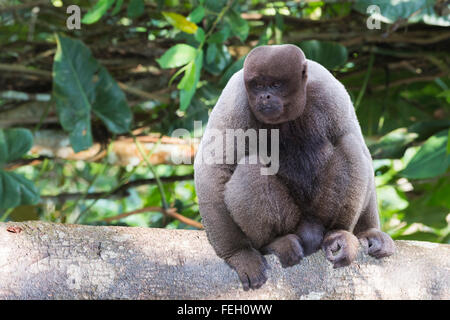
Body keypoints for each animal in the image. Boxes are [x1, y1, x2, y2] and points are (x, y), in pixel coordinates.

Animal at [193, 43, 394, 292]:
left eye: (276, 85)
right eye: (257, 85)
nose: (265, 96)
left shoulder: (330, 89)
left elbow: (360, 147)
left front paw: (369, 233)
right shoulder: (235, 98)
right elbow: (213, 170)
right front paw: (239, 253)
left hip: (319, 214)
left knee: (350, 144)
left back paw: (338, 234)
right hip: (292, 221)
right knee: (251, 166)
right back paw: (275, 242)